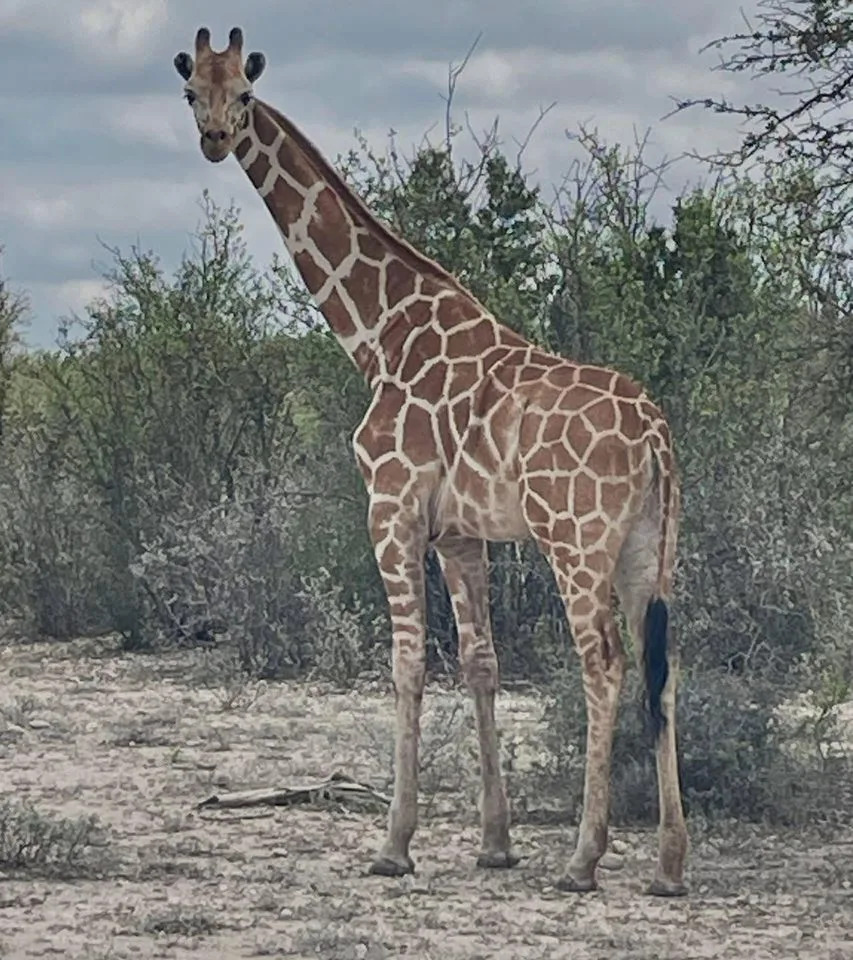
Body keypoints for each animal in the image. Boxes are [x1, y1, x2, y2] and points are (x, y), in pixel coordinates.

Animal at [173, 27, 688, 896]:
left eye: (243, 92)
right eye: (190, 92)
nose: (213, 139)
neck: (379, 334)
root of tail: (654, 434)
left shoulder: (391, 507)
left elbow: (407, 662)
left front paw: (393, 844)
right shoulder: (459, 531)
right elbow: (480, 663)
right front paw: (494, 842)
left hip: (575, 540)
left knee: (604, 663)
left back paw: (583, 859)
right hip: (650, 548)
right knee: (664, 664)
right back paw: (668, 864)